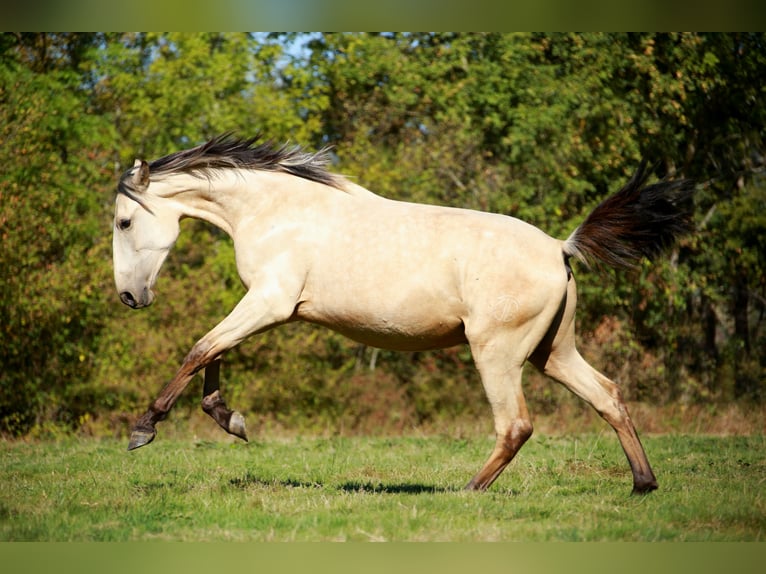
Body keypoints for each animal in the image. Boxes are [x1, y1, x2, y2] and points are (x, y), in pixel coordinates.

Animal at [112, 134, 696, 496]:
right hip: (553, 351)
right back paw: (643, 484)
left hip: (498, 354)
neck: (276, 211)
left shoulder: (268, 304)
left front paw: (144, 429)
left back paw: (467, 491)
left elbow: (201, 348)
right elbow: (214, 351)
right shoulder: (264, 305)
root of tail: (560, 247)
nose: (129, 298)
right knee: (608, 397)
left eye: (123, 222)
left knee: (516, 426)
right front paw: (229, 419)